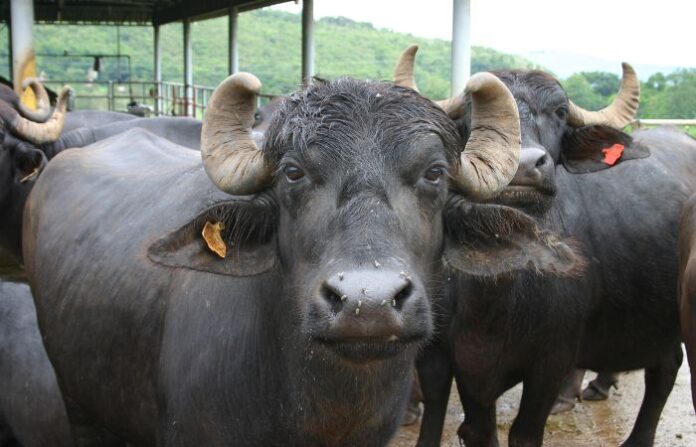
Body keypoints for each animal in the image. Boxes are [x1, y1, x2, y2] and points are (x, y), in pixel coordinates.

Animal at [397, 46, 696, 446]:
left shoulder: (551, 362)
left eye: (559, 112)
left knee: (665, 370)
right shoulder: (455, 361)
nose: (524, 165)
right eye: (475, 114)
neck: (499, 295)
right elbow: (472, 427)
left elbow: (524, 432)